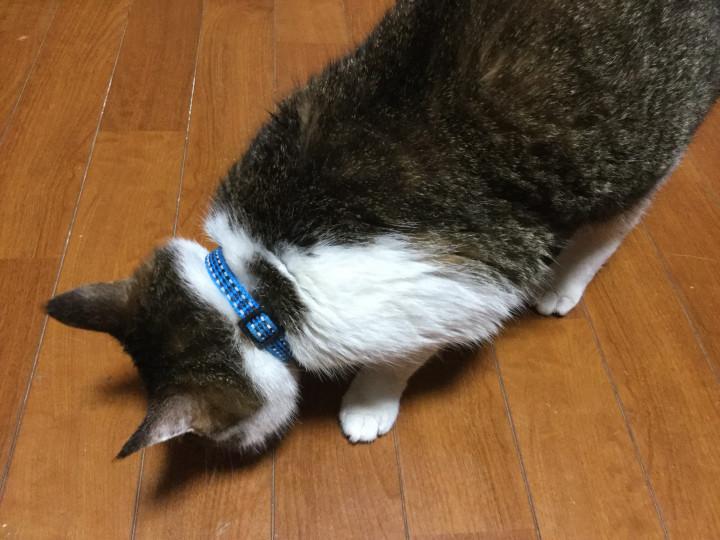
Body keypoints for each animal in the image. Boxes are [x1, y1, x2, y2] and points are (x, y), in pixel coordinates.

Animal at [46, 0, 720, 457]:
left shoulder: (449, 295)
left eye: (218, 433)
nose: (231, 449)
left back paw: (563, 283)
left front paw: (368, 402)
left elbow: (399, 357)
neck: (256, 287)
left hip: (638, 144)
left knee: (618, 220)